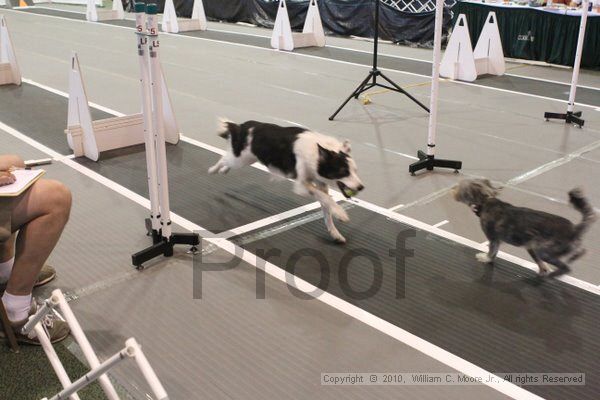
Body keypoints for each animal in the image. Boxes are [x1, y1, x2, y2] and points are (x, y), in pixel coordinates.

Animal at [454, 179, 596, 278]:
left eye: (459, 186)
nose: (453, 189)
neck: (485, 202)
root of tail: (575, 229)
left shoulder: (494, 239)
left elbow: (492, 252)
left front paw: (485, 259)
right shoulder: (530, 246)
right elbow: (539, 262)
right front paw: (543, 269)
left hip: (544, 251)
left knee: (566, 268)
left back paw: (554, 274)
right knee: (580, 252)